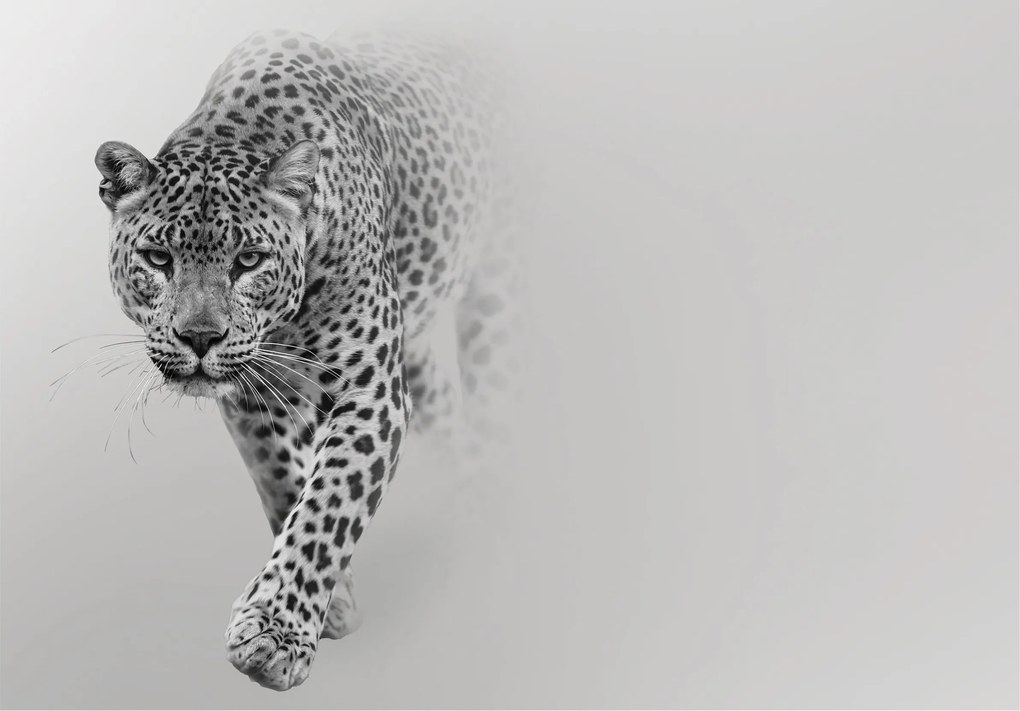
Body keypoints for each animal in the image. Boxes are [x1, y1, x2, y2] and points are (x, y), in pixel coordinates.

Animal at [94, 28, 521, 691]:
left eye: (248, 260)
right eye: (158, 258)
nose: (199, 338)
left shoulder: (372, 396)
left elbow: (329, 505)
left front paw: (275, 635)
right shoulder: (252, 399)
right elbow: (284, 486)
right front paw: (332, 602)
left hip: (495, 301)